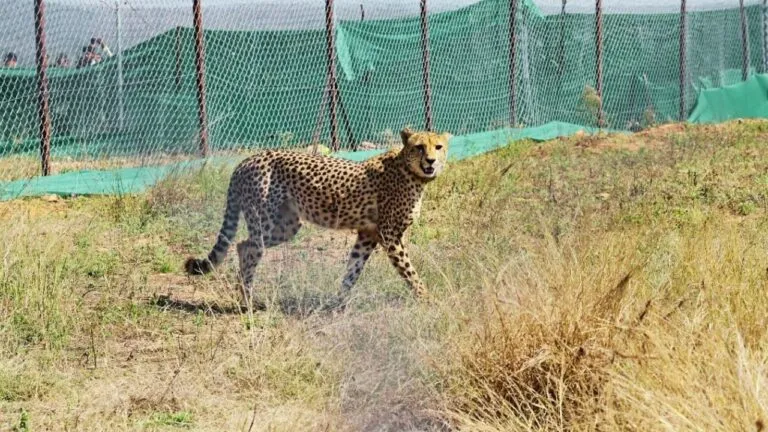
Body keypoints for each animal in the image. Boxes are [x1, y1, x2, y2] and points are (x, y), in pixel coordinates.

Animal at [183, 127, 451, 306]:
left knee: (242, 244)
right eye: (419, 146)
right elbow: (409, 271)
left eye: (438, 147)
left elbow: (352, 269)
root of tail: (247, 160)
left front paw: (338, 302)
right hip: (265, 220)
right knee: (249, 248)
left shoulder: (368, 234)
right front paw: (427, 299)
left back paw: (244, 295)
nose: (431, 160)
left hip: (287, 225)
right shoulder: (390, 236)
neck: (411, 171)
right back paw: (248, 301)